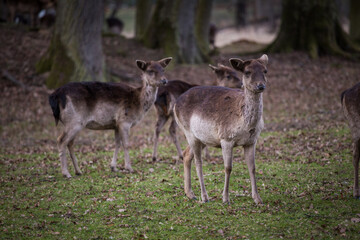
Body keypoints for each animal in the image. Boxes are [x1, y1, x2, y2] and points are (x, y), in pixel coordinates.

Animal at [173, 54, 268, 204]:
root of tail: (175, 103)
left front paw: (258, 199)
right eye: (247, 72)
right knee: (198, 162)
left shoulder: (251, 141)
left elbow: (252, 167)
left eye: (265, 71)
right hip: (188, 132)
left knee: (186, 154)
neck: (246, 124)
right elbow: (228, 168)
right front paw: (225, 198)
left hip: (202, 138)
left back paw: (190, 194)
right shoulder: (226, 138)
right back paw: (204, 196)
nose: (261, 86)